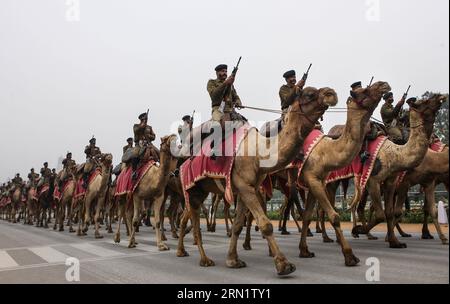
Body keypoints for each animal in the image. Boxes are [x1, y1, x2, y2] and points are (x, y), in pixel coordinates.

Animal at [176, 86, 338, 276]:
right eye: (309, 94)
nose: (331, 93)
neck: (259, 154)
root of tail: (182, 164)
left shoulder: (247, 188)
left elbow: (238, 225)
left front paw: (233, 260)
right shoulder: (244, 186)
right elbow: (265, 224)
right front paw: (284, 265)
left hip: (200, 191)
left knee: (188, 216)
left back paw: (185, 252)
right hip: (191, 187)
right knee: (191, 219)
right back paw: (201, 258)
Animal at [354, 94, 448, 248]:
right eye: (426, 101)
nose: (440, 95)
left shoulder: (428, 182)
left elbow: (429, 210)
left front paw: (440, 237)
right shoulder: (402, 182)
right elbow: (395, 212)